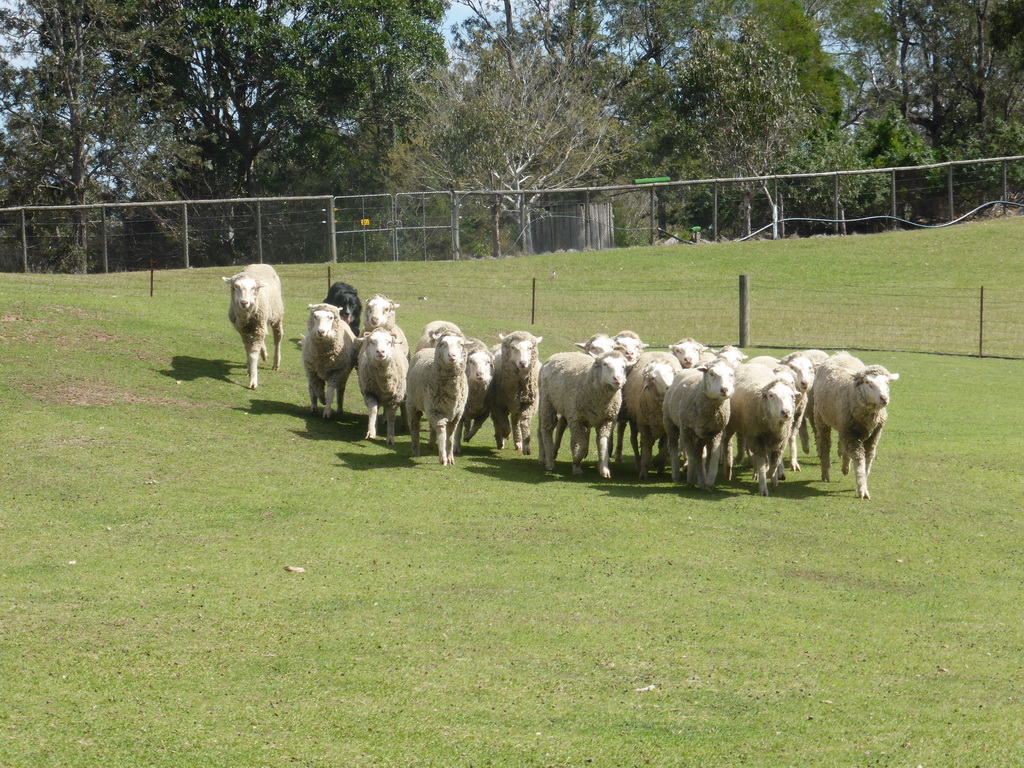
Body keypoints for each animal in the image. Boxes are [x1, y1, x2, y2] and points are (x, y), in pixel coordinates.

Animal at [407, 333, 471, 466]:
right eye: (443, 344)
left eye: (461, 344)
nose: (452, 356)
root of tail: (428, 349)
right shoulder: (436, 412)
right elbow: (442, 433)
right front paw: (443, 458)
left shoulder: (457, 415)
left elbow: (450, 436)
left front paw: (450, 457)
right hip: (413, 403)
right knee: (414, 426)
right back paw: (415, 450)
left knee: (432, 427)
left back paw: (431, 444)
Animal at [540, 350, 626, 481]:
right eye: (605, 364)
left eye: (623, 367)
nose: (618, 379)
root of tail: (559, 354)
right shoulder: (578, 420)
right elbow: (584, 445)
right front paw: (576, 462)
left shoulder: (607, 421)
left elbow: (602, 444)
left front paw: (604, 469)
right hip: (547, 402)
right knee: (547, 429)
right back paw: (549, 461)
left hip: (567, 408)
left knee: (561, 426)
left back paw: (555, 451)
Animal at [663, 358, 737, 489]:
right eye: (712, 374)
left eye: (732, 374)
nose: (724, 390)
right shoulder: (686, 430)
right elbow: (691, 455)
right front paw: (691, 480)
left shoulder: (716, 432)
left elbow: (713, 456)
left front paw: (709, 482)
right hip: (670, 422)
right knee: (673, 445)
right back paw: (676, 474)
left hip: (702, 434)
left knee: (699, 451)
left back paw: (702, 478)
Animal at [724, 362, 794, 495]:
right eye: (771, 395)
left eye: (792, 396)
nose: (786, 412)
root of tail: (750, 363)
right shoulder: (756, 438)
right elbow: (762, 462)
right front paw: (763, 486)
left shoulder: (779, 442)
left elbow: (774, 462)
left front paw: (771, 476)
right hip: (735, 427)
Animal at [811, 354, 901, 501]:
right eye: (869, 383)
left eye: (887, 383)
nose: (884, 399)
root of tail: (840, 353)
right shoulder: (851, 434)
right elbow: (859, 458)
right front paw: (862, 487)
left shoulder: (874, 434)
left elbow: (869, 456)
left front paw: (863, 479)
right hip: (821, 418)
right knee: (825, 444)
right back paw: (825, 472)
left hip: (842, 425)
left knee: (843, 445)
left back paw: (845, 467)